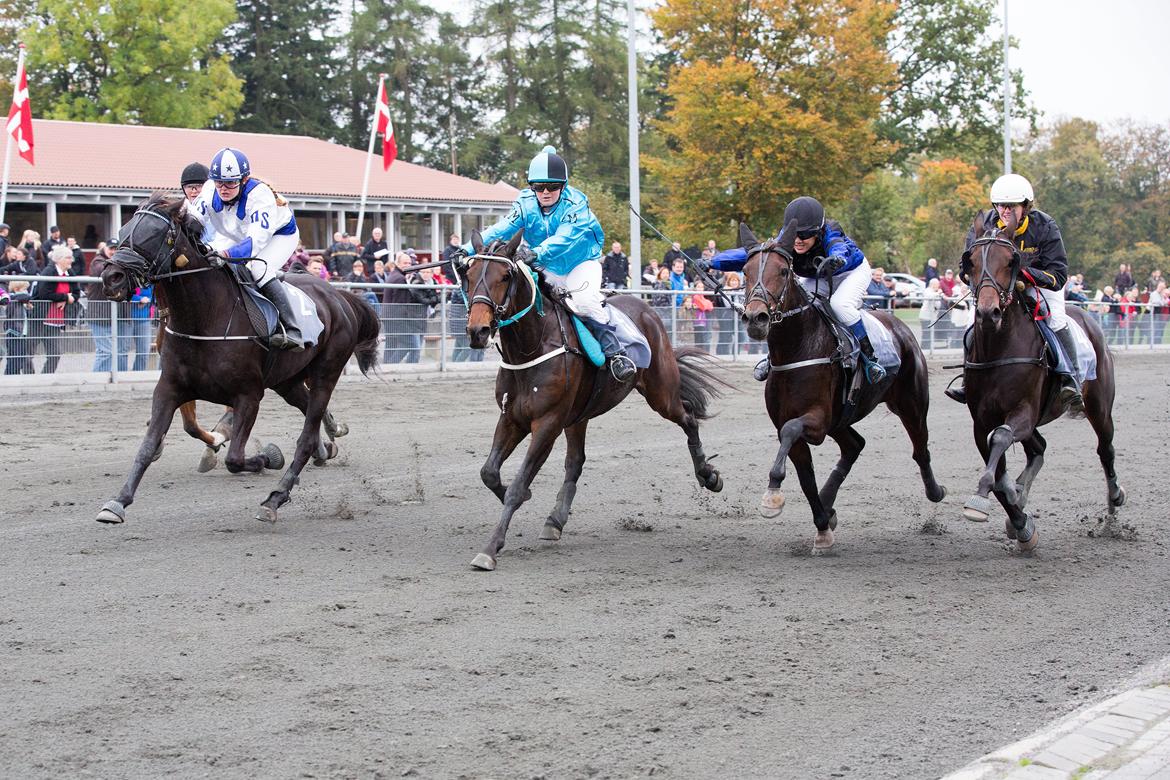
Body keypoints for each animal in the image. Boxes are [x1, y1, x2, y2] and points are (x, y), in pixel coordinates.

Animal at [97, 194, 379, 523]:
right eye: (124, 229)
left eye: (154, 234)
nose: (112, 278)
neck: (206, 317)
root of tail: (340, 296)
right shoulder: (169, 388)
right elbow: (148, 445)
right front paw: (117, 502)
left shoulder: (248, 395)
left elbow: (235, 457)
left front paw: (267, 457)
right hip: (287, 380)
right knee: (308, 409)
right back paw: (326, 445)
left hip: (326, 371)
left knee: (306, 437)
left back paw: (275, 498)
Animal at [460, 229, 725, 570]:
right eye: (468, 274)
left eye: (505, 276)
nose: (477, 331)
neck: (531, 348)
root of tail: (646, 308)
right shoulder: (512, 418)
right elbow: (489, 472)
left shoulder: (547, 423)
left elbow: (518, 486)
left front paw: (491, 547)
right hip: (579, 415)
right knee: (575, 462)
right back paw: (555, 520)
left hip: (661, 392)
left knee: (688, 418)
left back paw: (709, 475)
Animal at [739, 224, 950, 554]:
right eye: (745, 271)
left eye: (784, 271)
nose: (755, 318)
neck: (797, 349)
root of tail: (900, 326)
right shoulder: (803, 424)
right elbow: (806, 478)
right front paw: (823, 527)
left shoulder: (816, 420)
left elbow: (790, 431)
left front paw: (772, 496)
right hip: (842, 418)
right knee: (855, 445)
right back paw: (828, 504)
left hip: (912, 403)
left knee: (920, 449)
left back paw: (935, 491)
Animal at [959, 210, 1123, 551]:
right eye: (971, 262)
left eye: (1011, 261)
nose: (989, 313)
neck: (999, 348)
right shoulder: (981, 420)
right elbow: (997, 468)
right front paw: (1020, 519)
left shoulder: (1023, 410)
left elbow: (1000, 441)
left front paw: (982, 499)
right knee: (1039, 448)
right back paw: (1020, 494)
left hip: (1099, 406)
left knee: (1106, 448)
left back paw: (1114, 501)